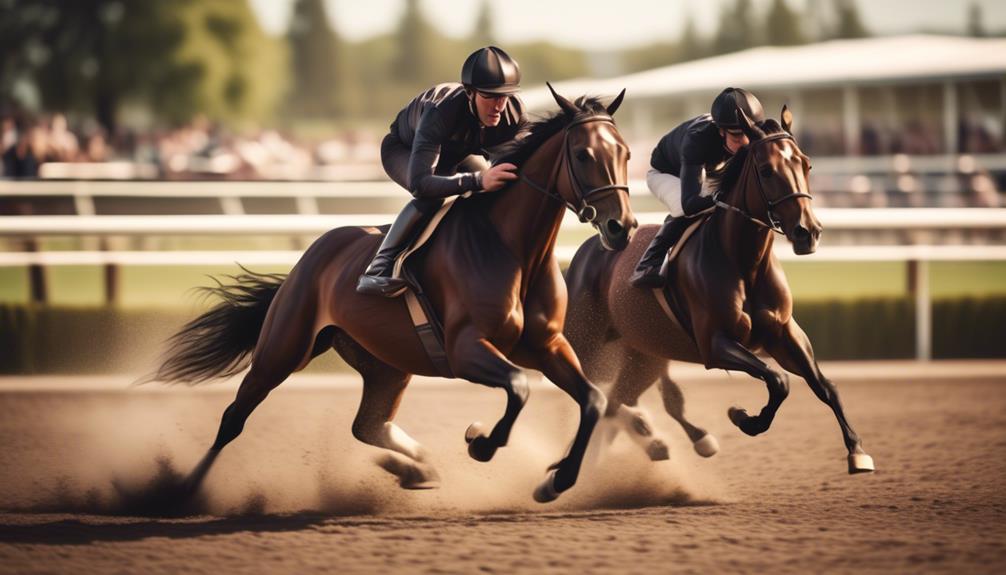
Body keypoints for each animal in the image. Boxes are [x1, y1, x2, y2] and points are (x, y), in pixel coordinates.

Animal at [148, 85, 635, 502]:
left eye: (626, 152)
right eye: (583, 154)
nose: (622, 227)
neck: (514, 249)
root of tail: (313, 254)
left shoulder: (546, 346)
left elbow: (592, 400)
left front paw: (557, 480)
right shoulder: (466, 349)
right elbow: (518, 387)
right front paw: (480, 443)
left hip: (387, 364)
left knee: (369, 425)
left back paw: (416, 469)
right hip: (283, 348)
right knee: (234, 417)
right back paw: (182, 492)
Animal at [567, 107, 873, 476]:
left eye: (806, 164)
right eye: (767, 170)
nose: (807, 232)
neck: (743, 261)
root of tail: (589, 249)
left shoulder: (784, 334)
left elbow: (825, 386)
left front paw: (857, 450)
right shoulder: (715, 343)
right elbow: (778, 380)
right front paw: (744, 419)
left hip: (644, 355)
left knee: (616, 401)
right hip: (588, 344)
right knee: (596, 396)